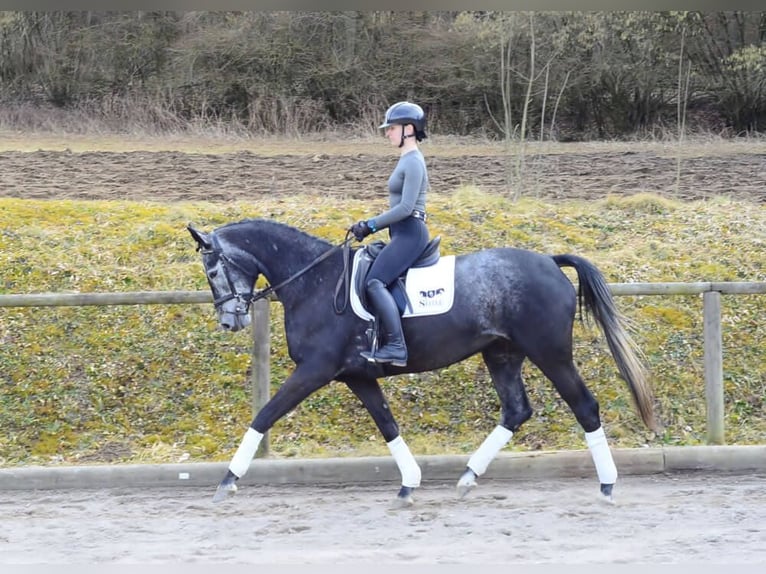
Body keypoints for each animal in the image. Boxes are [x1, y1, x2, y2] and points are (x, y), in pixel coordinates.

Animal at [189, 218, 656, 506]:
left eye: (212, 272)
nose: (230, 321)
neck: (315, 282)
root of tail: (549, 261)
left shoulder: (315, 371)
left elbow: (264, 415)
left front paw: (227, 481)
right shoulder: (356, 376)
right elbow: (388, 425)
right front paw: (409, 484)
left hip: (551, 353)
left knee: (585, 407)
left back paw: (607, 485)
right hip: (501, 353)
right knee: (516, 410)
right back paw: (467, 477)